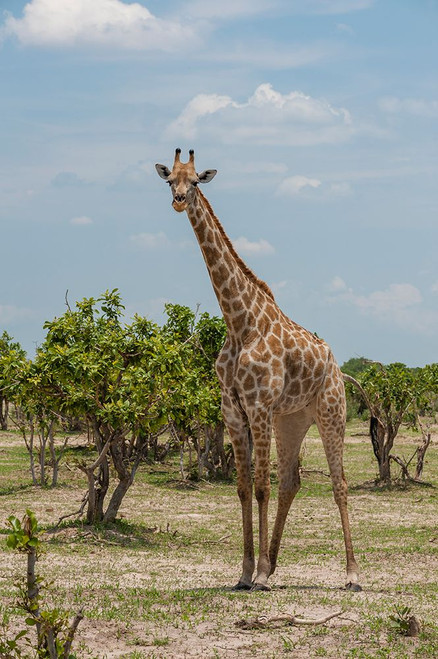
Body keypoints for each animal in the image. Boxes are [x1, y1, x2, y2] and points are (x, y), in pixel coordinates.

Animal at [156, 148, 361, 592]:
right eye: (169, 180)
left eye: (195, 181)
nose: (178, 200)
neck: (239, 322)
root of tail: (337, 368)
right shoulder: (233, 410)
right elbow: (243, 488)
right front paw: (248, 570)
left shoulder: (259, 406)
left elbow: (261, 487)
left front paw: (261, 575)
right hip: (292, 420)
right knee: (291, 483)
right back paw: (275, 563)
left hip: (331, 411)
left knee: (337, 484)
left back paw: (352, 573)